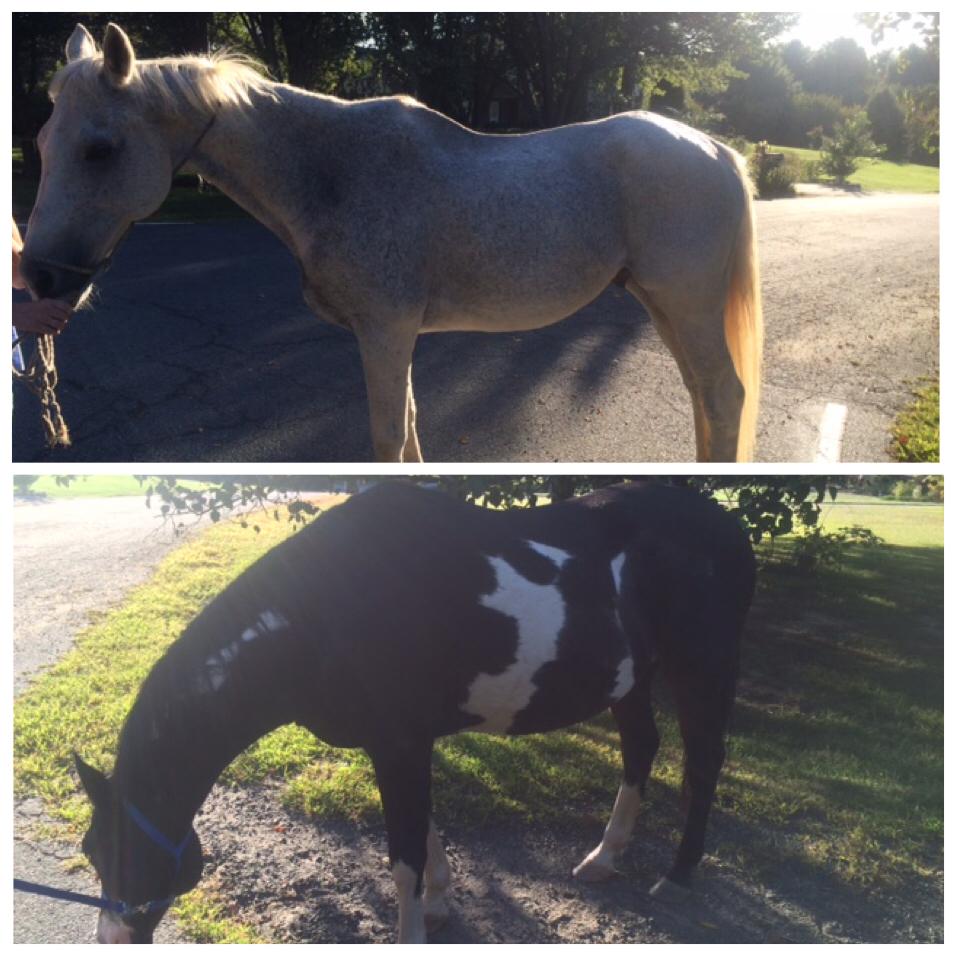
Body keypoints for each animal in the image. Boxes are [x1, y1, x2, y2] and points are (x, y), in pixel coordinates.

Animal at [21, 22, 762, 463]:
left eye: (99, 149)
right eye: (43, 142)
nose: (40, 278)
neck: (334, 172)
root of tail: (716, 149)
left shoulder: (384, 332)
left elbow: (387, 436)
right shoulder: (394, 338)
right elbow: (407, 429)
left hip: (687, 306)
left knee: (724, 396)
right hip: (665, 306)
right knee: (704, 397)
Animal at [73, 480, 755, 943]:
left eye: (120, 853)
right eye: (89, 851)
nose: (113, 939)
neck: (322, 610)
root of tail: (726, 526)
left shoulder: (400, 744)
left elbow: (402, 858)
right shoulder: (402, 744)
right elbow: (423, 833)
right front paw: (441, 901)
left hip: (702, 669)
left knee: (704, 762)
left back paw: (679, 874)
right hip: (631, 680)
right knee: (642, 749)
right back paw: (604, 858)